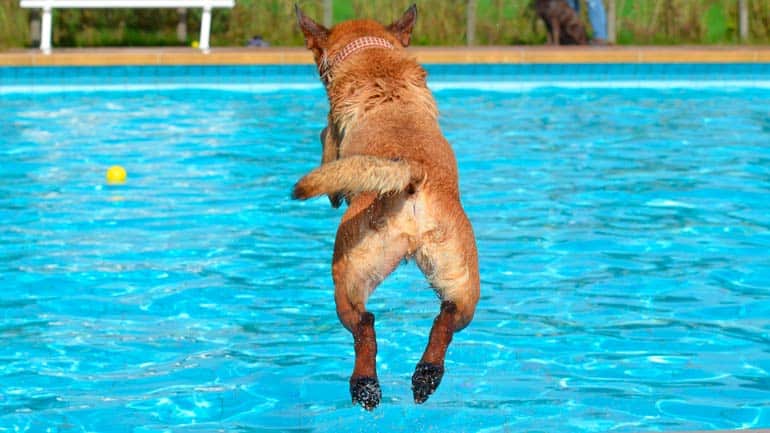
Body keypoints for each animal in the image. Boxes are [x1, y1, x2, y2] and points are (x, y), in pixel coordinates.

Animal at [292, 3, 476, 408]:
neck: (374, 55)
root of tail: (411, 175)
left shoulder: (331, 140)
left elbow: (326, 143)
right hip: (461, 278)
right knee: (447, 317)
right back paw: (426, 376)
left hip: (348, 275)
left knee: (365, 325)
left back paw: (365, 386)